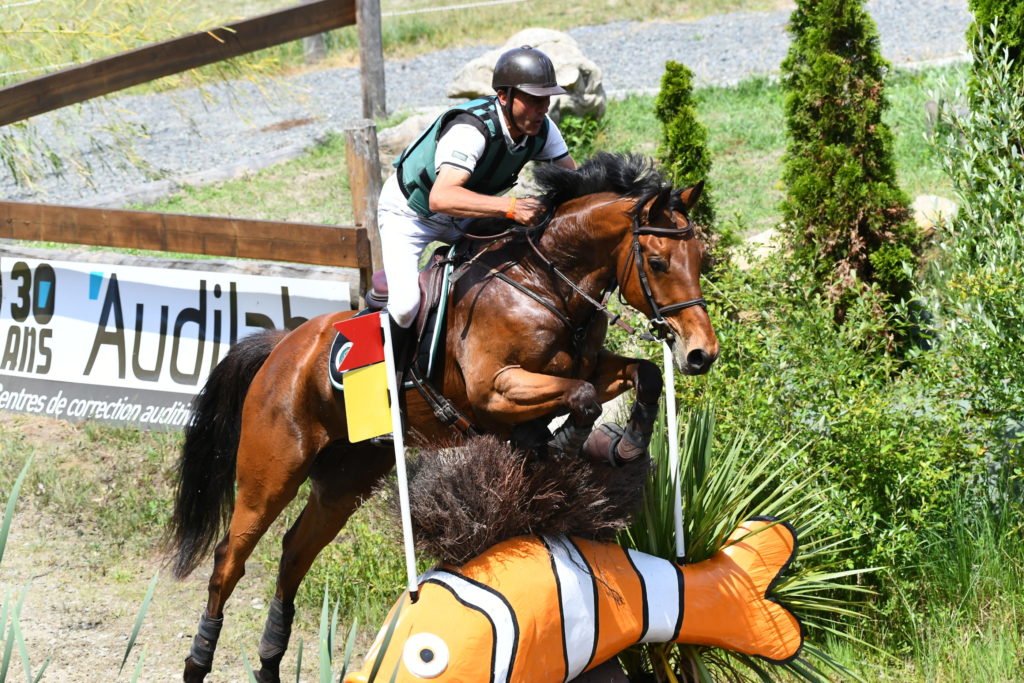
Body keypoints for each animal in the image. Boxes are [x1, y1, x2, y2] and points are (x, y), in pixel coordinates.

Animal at [167, 152, 716, 679]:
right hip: (273, 471)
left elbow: (643, 375)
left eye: (702, 260)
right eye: (657, 261)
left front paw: (628, 442)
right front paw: (559, 444)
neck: (543, 283)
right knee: (230, 558)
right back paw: (198, 661)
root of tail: (283, 346)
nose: (700, 354)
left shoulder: (590, 366)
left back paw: (268, 662)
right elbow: (581, 398)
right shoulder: (496, 390)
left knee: (295, 551)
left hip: (345, 480)